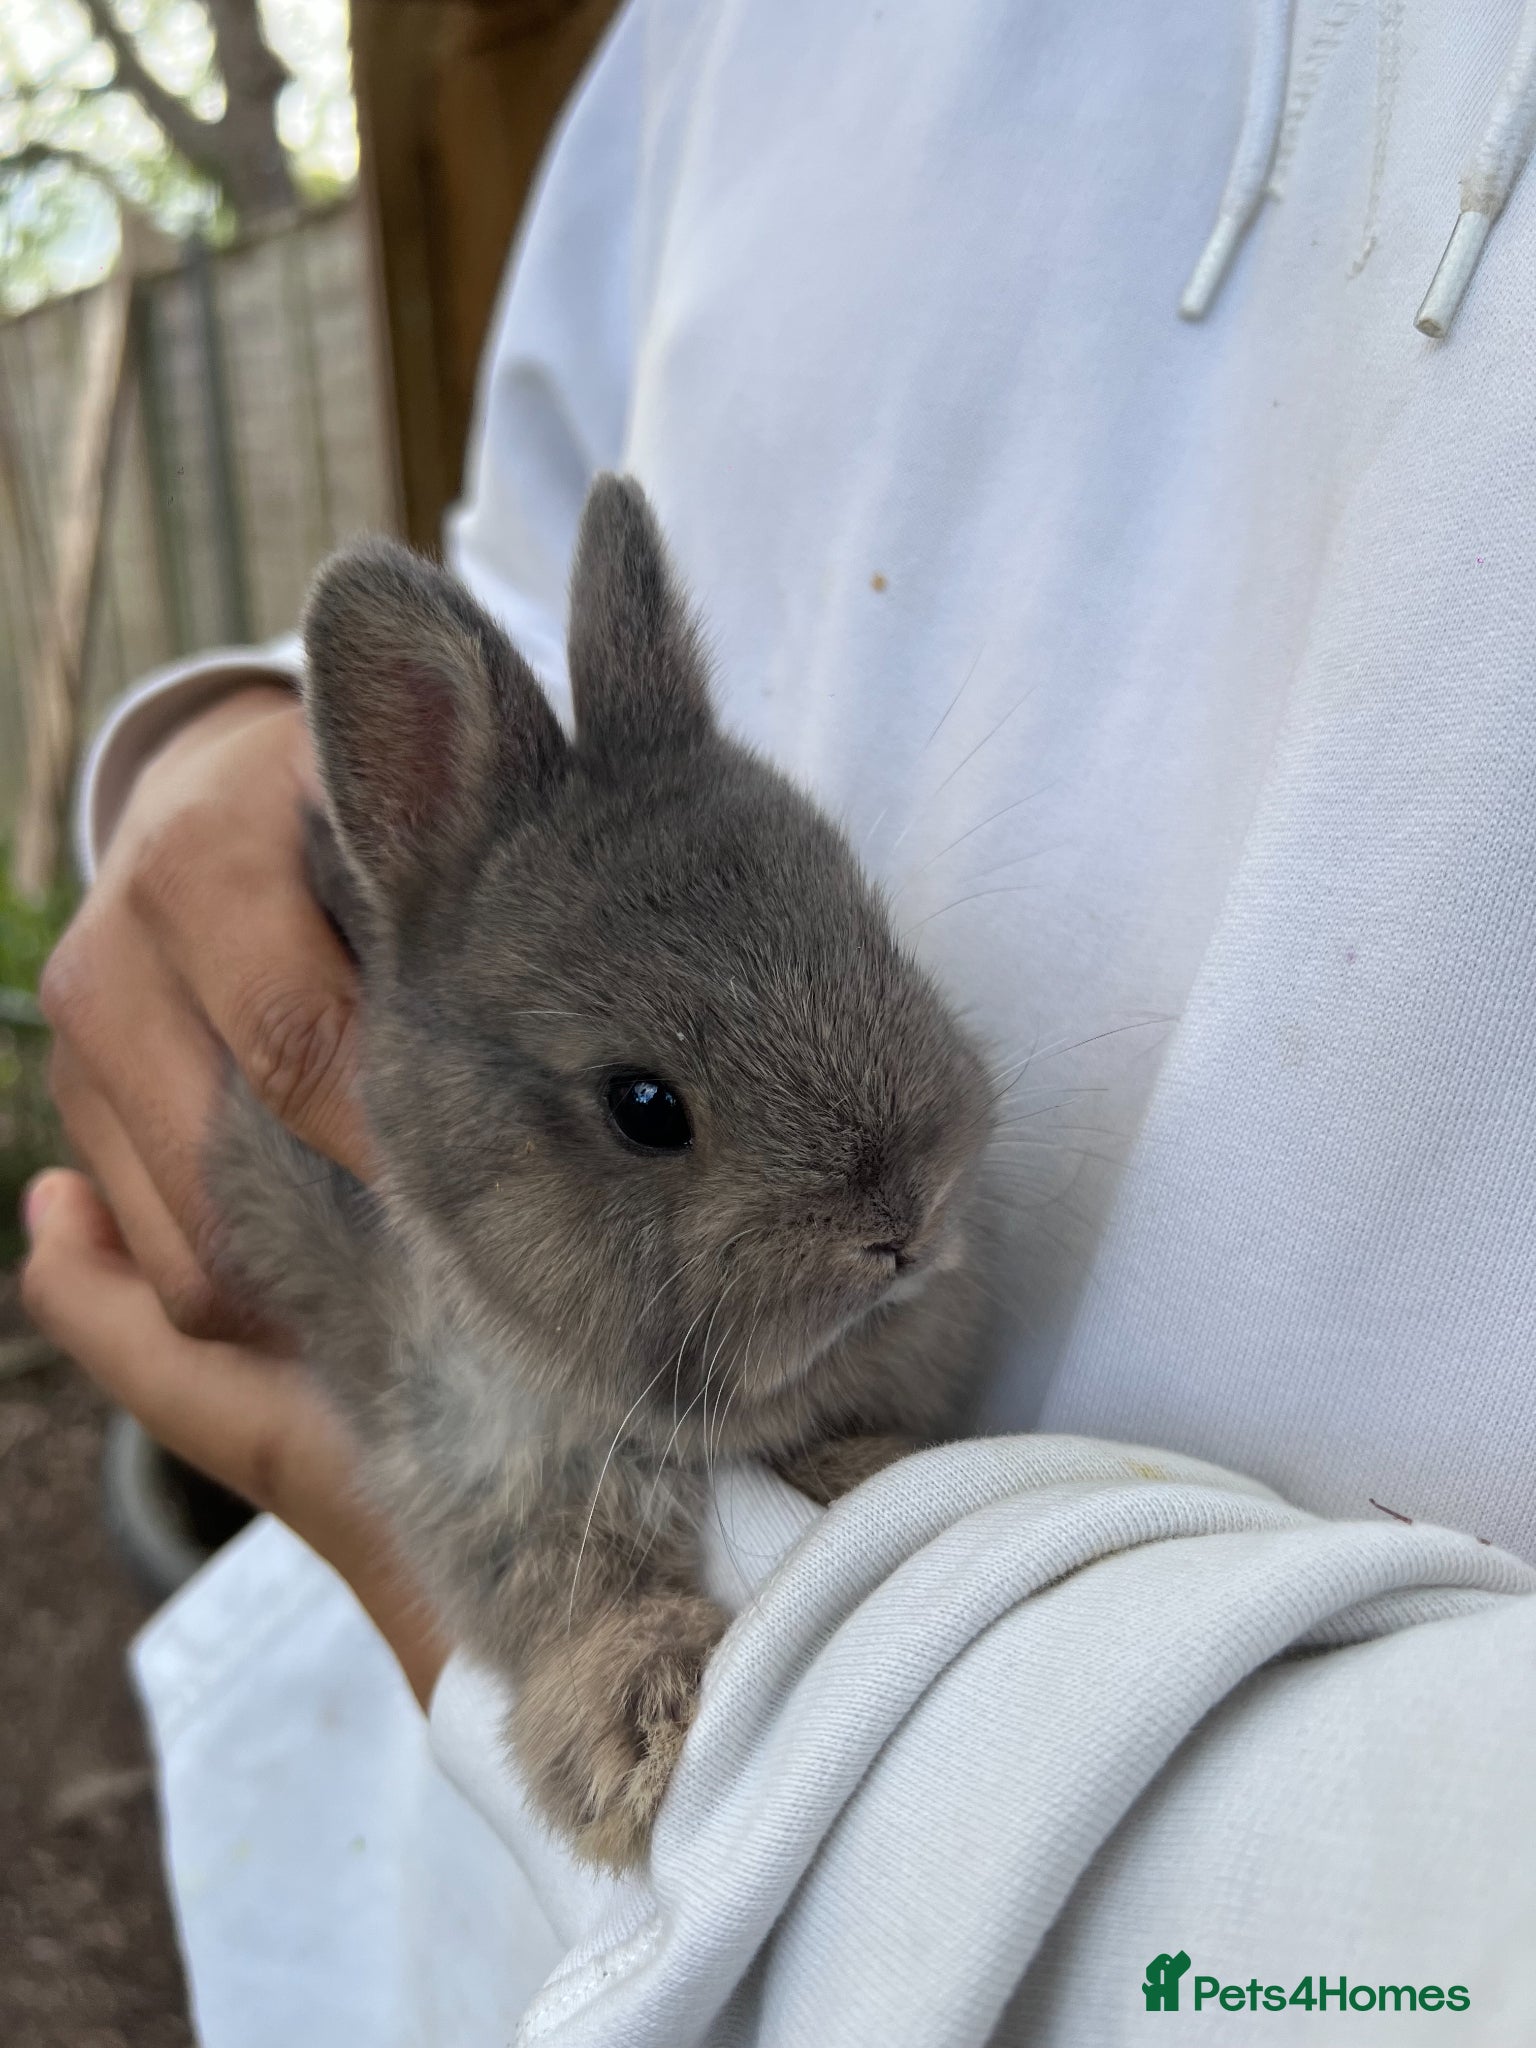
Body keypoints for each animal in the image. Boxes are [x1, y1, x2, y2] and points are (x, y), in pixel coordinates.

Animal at [209, 474, 1000, 1870]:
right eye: (644, 1106)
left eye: (873, 932)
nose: (904, 1219)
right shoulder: (466, 1450)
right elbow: (563, 1596)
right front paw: (629, 1736)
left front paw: (872, 1473)